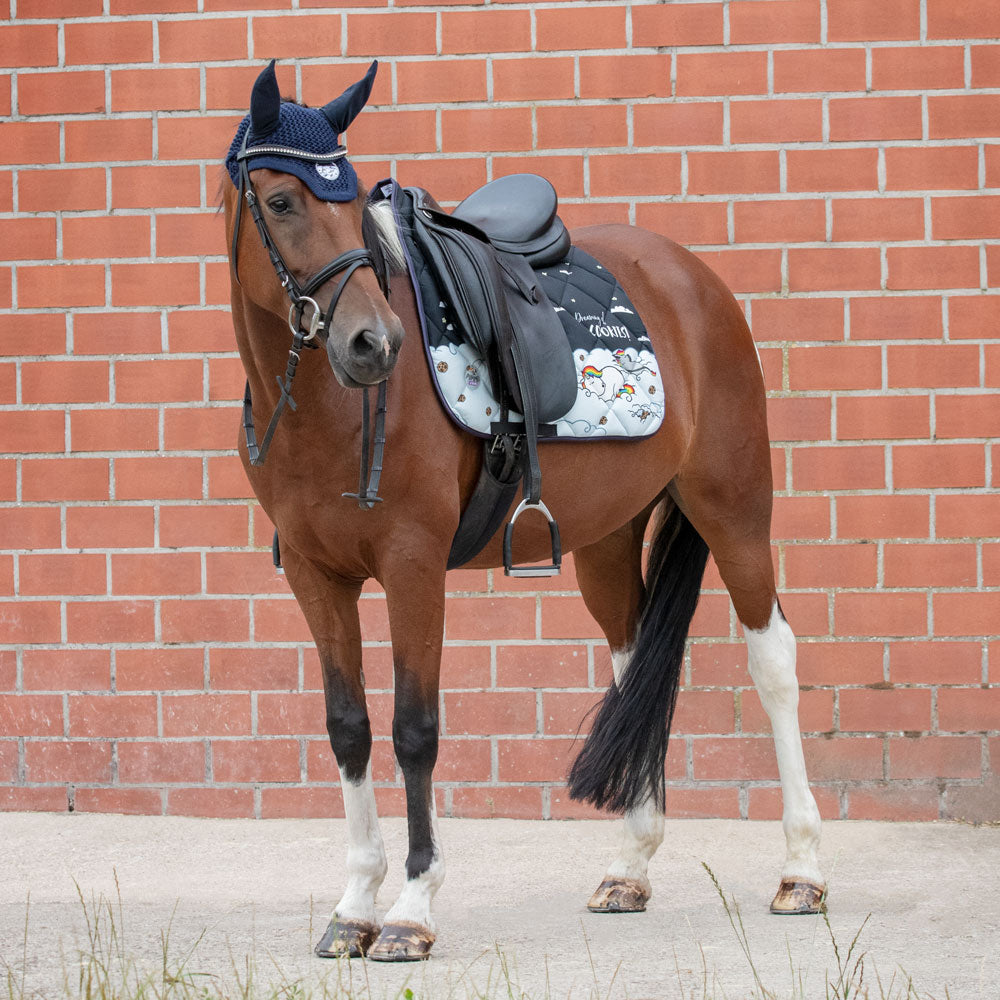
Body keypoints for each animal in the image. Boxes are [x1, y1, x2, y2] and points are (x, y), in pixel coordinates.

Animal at [223, 60, 824, 960]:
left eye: (353, 197)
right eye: (284, 200)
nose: (373, 344)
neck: (329, 407)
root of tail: (690, 276)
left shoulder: (411, 564)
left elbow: (414, 728)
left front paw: (411, 911)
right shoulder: (313, 573)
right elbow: (348, 727)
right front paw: (354, 907)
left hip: (736, 508)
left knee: (774, 658)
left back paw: (803, 872)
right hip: (608, 538)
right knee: (632, 662)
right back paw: (628, 869)